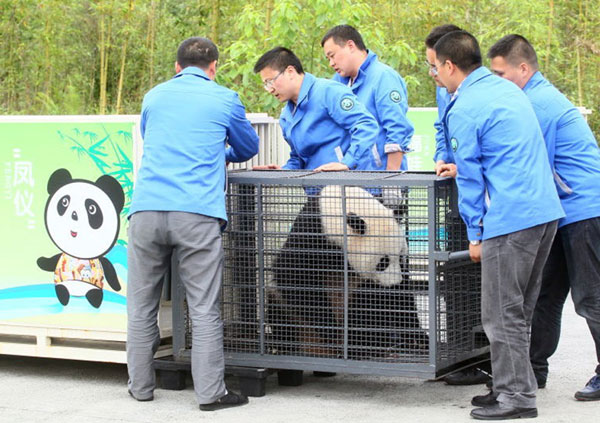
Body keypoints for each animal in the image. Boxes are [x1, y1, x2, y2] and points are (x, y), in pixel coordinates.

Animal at [37, 167, 124, 310]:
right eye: (64, 202)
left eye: (92, 208)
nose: (74, 215)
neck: (78, 255)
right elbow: (51, 261)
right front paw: (40, 261)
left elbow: (109, 269)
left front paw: (117, 287)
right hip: (61, 283)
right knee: (60, 288)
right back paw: (64, 298)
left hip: (94, 288)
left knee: (95, 293)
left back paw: (94, 302)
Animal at [268, 185, 426, 358]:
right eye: (383, 263)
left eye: (400, 257)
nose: (394, 284)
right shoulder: (311, 233)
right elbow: (294, 276)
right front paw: (329, 329)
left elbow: (401, 297)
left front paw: (417, 338)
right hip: (290, 315)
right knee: (279, 305)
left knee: (365, 309)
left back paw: (362, 346)